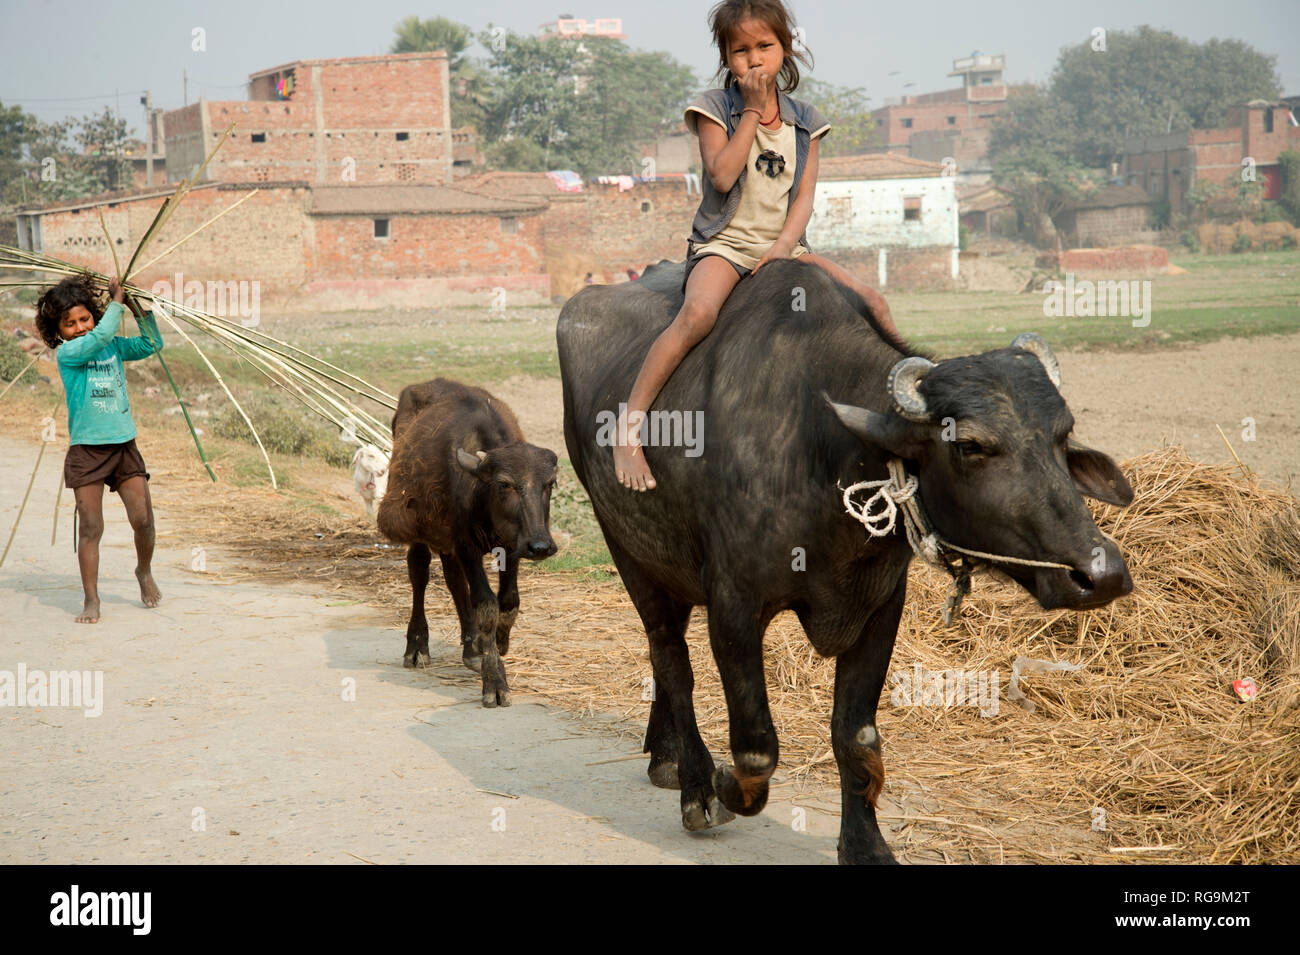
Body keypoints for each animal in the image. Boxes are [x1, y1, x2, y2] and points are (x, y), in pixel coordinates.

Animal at [379, 376, 556, 706]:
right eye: (504, 484)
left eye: (549, 484)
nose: (541, 546)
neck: (480, 496)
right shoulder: (465, 544)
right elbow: (485, 603)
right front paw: (495, 679)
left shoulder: (512, 545)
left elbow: (508, 600)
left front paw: (498, 641)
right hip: (417, 525)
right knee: (419, 572)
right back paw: (417, 645)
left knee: (454, 579)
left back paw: (471, 646)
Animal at [559, 257, 1138, 862]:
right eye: (969, 445)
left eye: (1062, 435)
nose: (1100, 574)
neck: (820, 451)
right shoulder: (734, 607)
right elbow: (756, 747)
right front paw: (723, 784)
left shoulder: (880, 606)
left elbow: (855, 736)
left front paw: (865, 844)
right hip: (626, 548)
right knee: (671, 656)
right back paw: (693, 782)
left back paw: (665, 754)